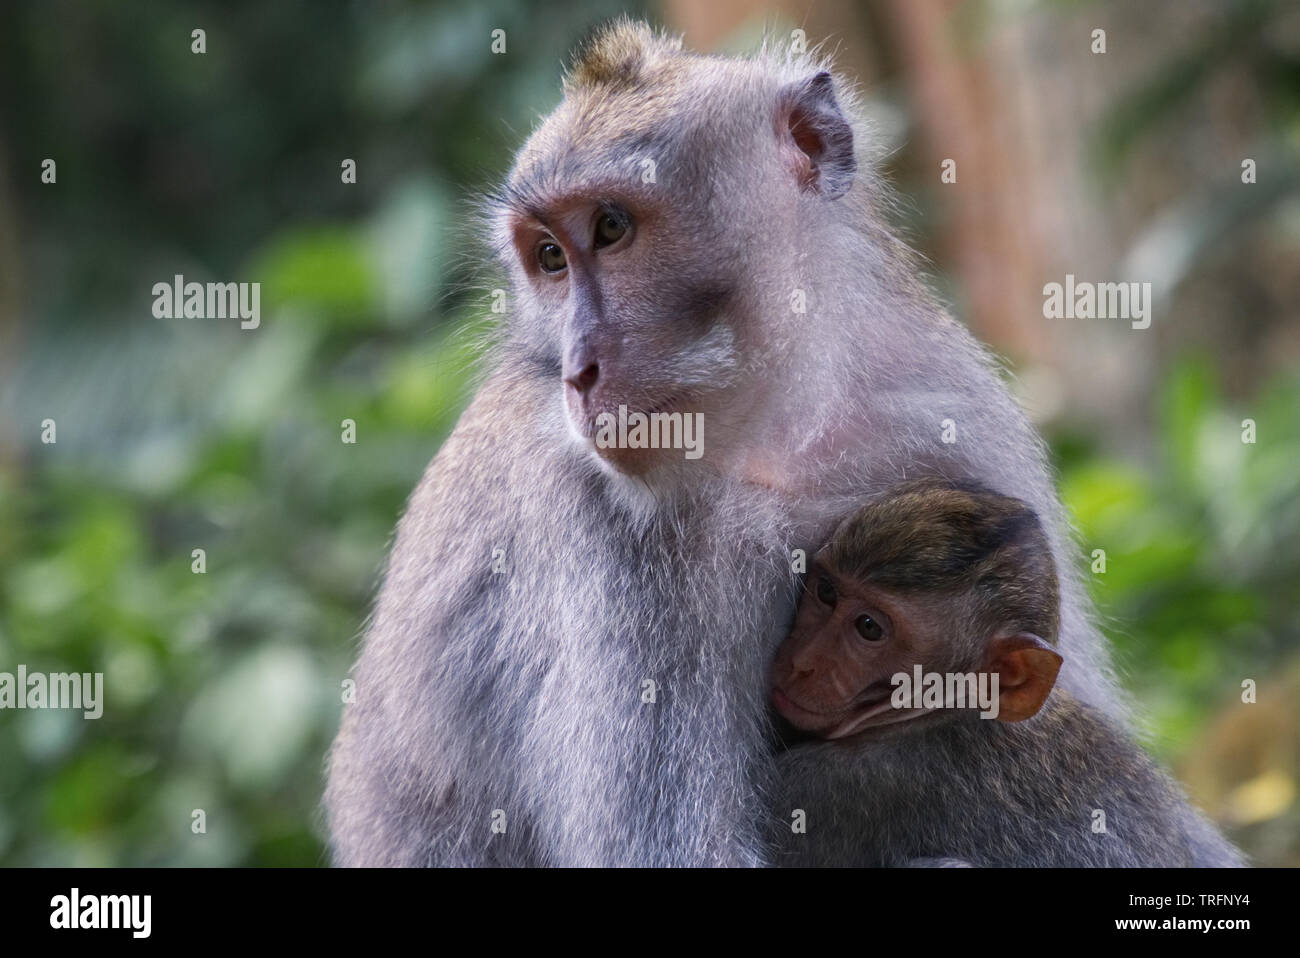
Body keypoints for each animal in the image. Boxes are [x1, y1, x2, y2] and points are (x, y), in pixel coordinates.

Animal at [326, 19, 1128, 866]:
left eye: (610, 229)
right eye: (549, 258)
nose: (578, 371)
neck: (778, 431)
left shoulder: (951, 411)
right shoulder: (595, 529)